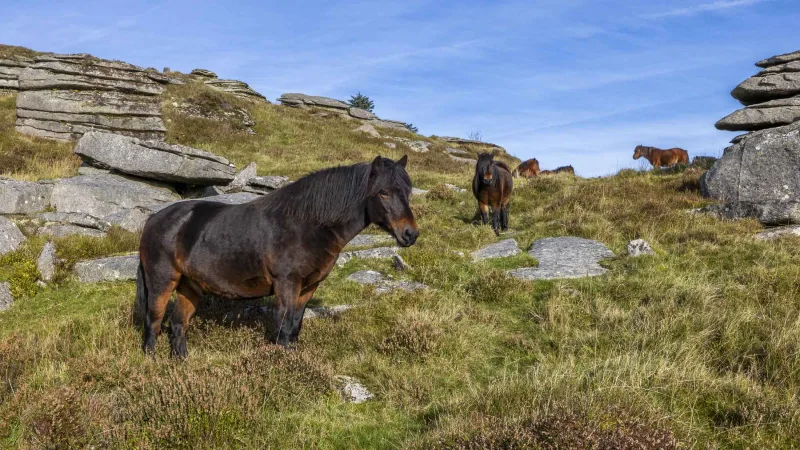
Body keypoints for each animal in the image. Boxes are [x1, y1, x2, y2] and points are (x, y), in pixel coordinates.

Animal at [137, 156, 419, 357]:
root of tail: (154, 218)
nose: (410, 234)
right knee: (153, 322)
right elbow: (284, 325)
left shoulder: (308, 286)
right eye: (383, 192)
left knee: (177, 325)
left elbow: (294, 325)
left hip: (190, 286)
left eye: (408, 191)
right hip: (162, 281)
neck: (308, 224)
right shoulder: (286, 283)